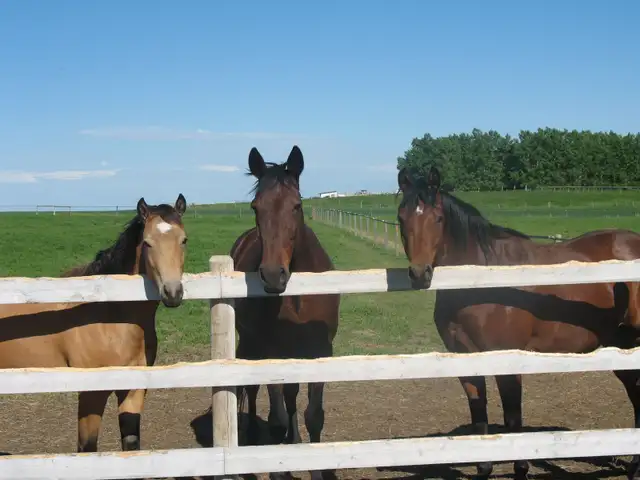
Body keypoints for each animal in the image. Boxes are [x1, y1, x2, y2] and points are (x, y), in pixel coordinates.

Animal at [0, 194, 188, 455]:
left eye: (184, 240)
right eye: (148, 243)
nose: (172, 293)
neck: (109, 315)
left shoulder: (133, 389)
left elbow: (131, 444)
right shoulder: (92, 393)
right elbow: (87, 447)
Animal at [230, 145, 340, 480]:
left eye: (296, 205)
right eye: (256, 207)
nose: (272, 275)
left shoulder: (320, 351)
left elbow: (313, 415)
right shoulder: (271, 353)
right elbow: (276, 418)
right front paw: (278, 467)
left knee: (291, 397)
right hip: (250, 344)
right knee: (252, 390)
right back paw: (254, 438)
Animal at [396, 166, 640, 480]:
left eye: (437, 218)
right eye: (402, 218)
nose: (419, 274)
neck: (481, 284)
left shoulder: (508, 363)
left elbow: (513, 421)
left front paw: (521, 468)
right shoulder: (466, 360)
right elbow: (479, 417)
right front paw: (483, 468)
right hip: (622, 347)